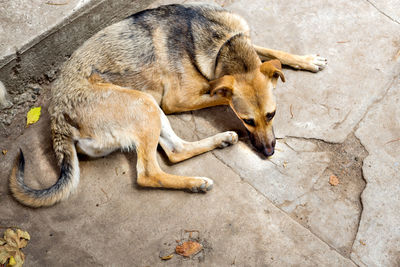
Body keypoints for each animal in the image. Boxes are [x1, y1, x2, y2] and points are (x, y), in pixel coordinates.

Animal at [9, 3, 326, 207]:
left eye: (272, 114)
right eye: (248, 120)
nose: (269, 152)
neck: (221, 44)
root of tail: (57, 118)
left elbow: (271, 52)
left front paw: (307, 60)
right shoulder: (177, 100)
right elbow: (221, 91)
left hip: (151, 110)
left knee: (175, 151)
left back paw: (220, 142)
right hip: (146, 104)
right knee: (149, 172)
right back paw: (195, 183)